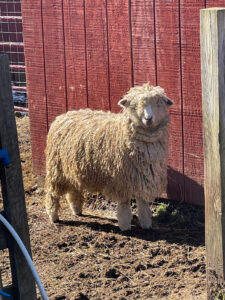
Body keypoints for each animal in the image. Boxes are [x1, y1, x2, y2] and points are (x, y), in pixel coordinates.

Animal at [44, 83, 173, 231]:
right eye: (134, 105)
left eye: (158, 102)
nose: (148, 118)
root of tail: (62, 116)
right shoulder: (121, 180)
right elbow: (124, 205)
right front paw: (125, 225)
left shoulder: (142, 178)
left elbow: (143, 204)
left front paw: (146, 224)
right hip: (56, 169)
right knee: (52, 194)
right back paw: (53, 216)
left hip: (71, 167)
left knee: (74, 189)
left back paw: (77, 210)